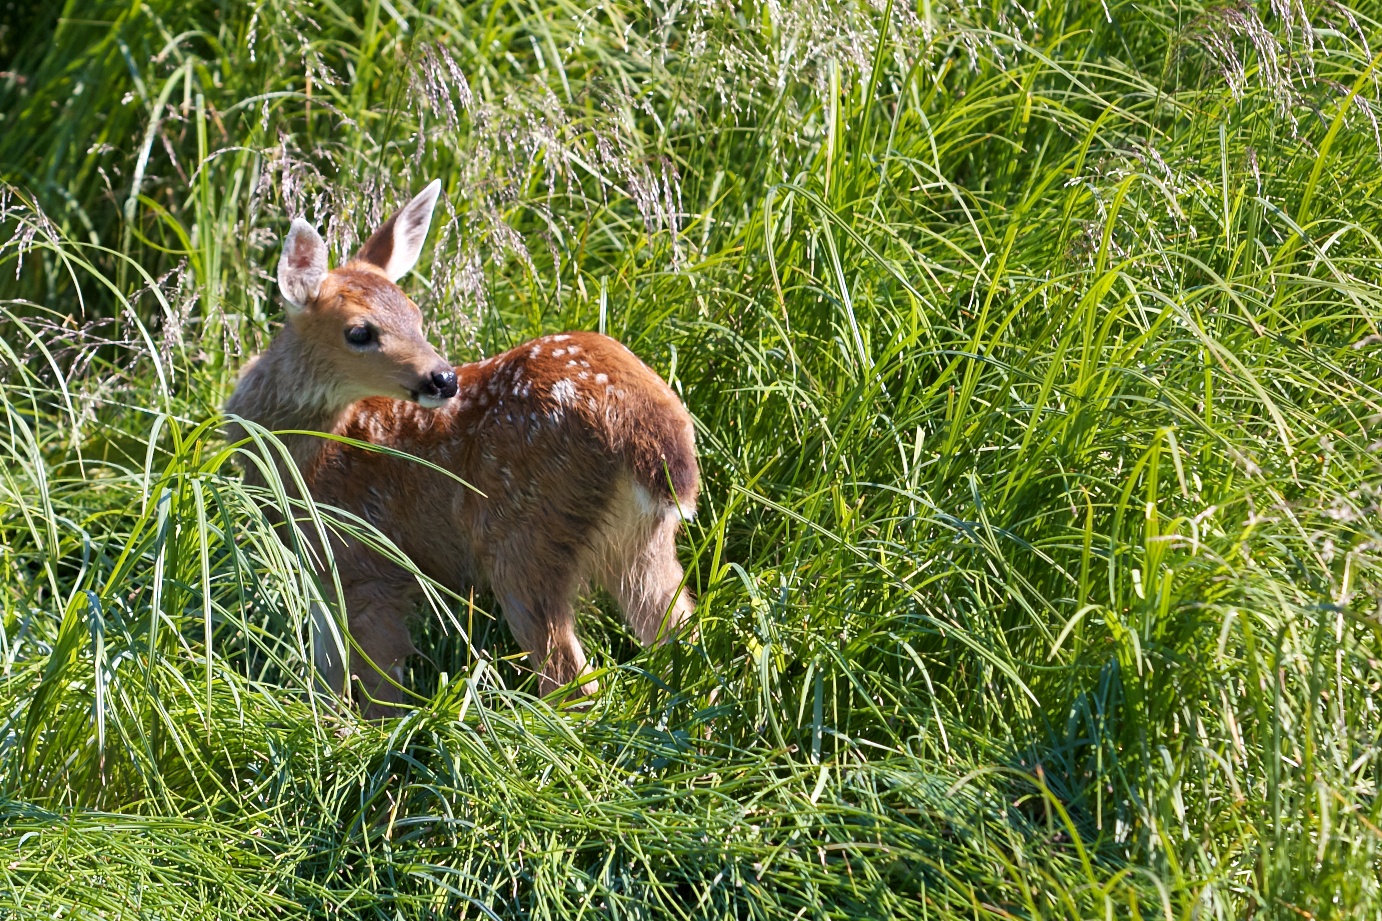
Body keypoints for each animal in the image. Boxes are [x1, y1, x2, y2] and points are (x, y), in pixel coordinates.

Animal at [232, 177, 702, 708]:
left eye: (415, 316)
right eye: (359, 331)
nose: (443, 378)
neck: (310, 453)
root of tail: (643, 421)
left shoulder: (367, 560)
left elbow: (377, 684)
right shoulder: (321, 571)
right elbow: (327, 667)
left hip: (524, 535)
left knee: (572, 675)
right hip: (643, 543)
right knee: (681, 630)